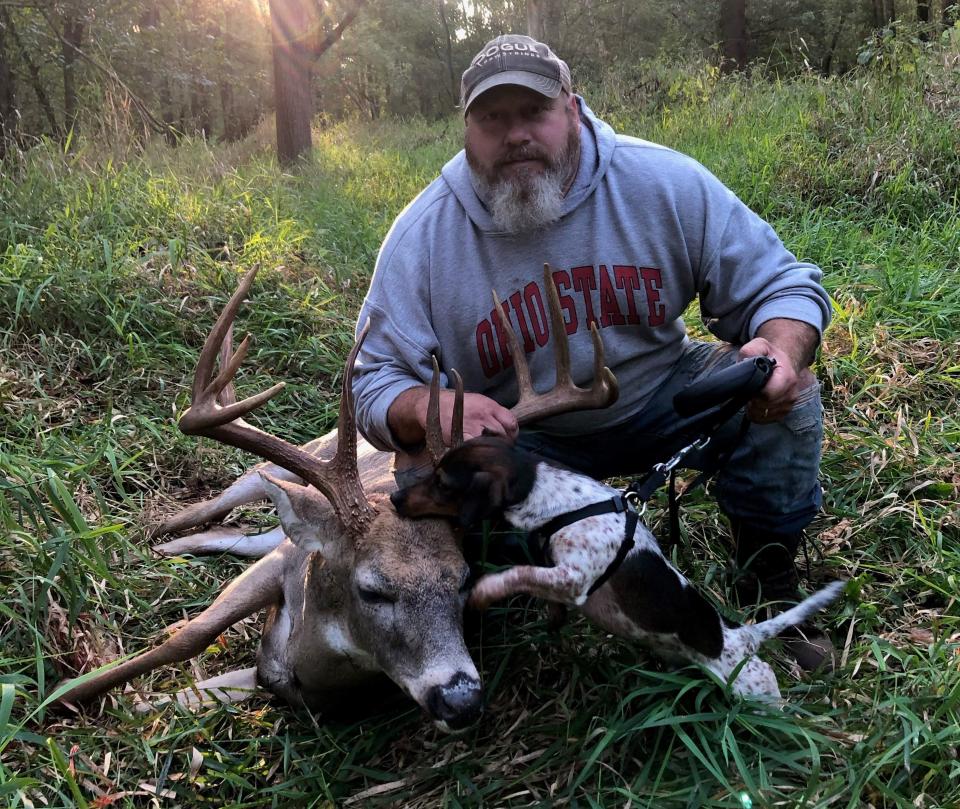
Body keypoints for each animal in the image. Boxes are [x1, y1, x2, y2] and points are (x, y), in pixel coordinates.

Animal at [54, 262, 616, 728]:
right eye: (373, 590)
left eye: (462, 581)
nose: (460, 701)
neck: (302, 661)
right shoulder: (284, 565)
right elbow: (190, 637)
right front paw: (66, 696)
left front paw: (133, 704)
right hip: (295, 459)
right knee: (237, 490)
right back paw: (159, 530)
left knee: (245, 533)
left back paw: (168, 548)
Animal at [390, 436, 840, 700]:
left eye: (443, 483)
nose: (394, 499)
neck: (557, 500)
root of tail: (742, 636)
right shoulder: (559, 577)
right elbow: (537, 581)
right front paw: (551, 622)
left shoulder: (574, 579)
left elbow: (519, 575)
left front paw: (483, 592)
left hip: (748, 682)